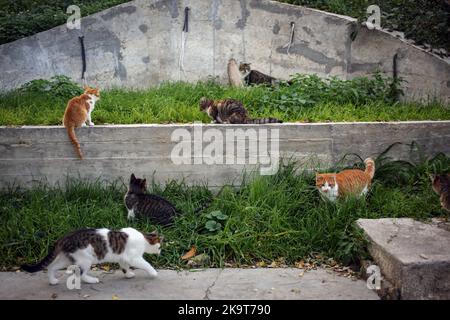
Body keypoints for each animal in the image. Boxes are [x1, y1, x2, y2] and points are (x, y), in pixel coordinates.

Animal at [21, 228, 162, 284]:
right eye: (160, 247)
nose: (161, 252)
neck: (144, 238)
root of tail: (64, 237)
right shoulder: (134, 258)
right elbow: (146, 264)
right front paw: (153, 273)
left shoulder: (122, 258)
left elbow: (124, 267)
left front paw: (128, 274)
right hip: (85, 260)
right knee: (81, 274)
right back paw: (91, 280)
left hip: (67, 259)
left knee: (51, 267)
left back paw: (52, 281)